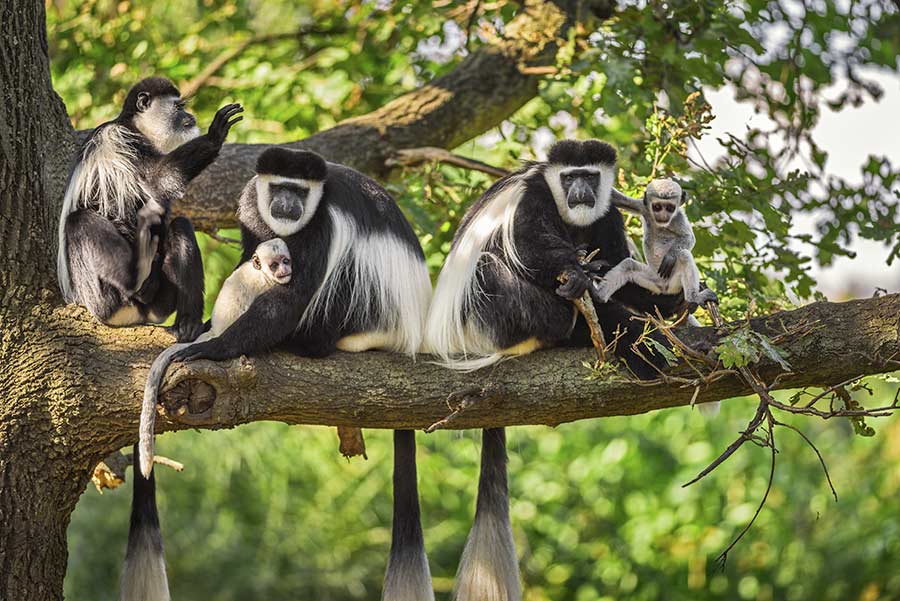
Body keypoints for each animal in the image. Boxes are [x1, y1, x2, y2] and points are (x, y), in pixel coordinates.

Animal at [57, 76, 243, 342]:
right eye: (179, 106)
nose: (191, 116)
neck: (135, 126)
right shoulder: (121, 140)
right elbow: (158, 178)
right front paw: (215, 135)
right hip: (99, 295)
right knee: (80, 220)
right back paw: (136, 282)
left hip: (160, 303)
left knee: (180, 226)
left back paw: (187, 323)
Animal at [422, 139, 687, 601]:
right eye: (569, 177)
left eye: (590, 176)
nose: (580, 191)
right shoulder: (533, 198)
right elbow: (531, 247)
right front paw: (580, 276)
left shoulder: (606, 213)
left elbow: (617, 261)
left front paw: (661, 298)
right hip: (489, 316)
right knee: (494, 267)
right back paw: (584, 322)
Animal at [593, 178, 719, 307]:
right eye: (657, 207)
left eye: (670, 208)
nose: (663, 215)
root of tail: (664, 287)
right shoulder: (643, 207)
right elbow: (616, 197)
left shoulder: (678, 218)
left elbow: (689, 237)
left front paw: (670, 257)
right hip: (653, 280)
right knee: (628, 266)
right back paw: (598, 295)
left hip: (674, 282)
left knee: (684, 255)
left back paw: (693, 297)